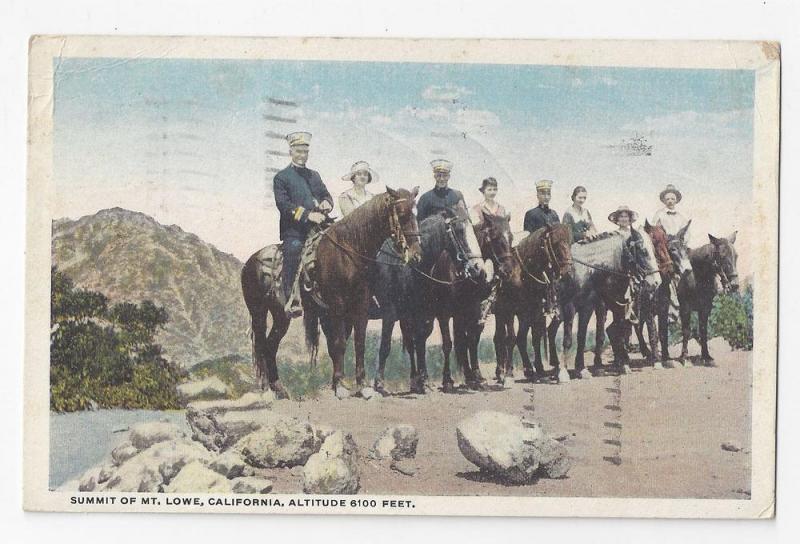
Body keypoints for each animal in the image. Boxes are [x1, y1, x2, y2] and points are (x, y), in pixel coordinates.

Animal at [241, 188, 422, 400]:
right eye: (401, 213)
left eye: (415, 213)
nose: (417, 254)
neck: (349, 252)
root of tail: (250, 261)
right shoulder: (338, 306)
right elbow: (339, 344)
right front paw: (341, 386)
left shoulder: (361, 306)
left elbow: (359, 344)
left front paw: (363, 386)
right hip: (258, 312)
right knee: (261, 345)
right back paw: (266, 389)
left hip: (280, 316)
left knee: (270, 346)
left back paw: (279, 388)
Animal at [494, 223, 576, 384]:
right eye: (555, 244)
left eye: (570, 243)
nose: (569, 272)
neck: (521, 275)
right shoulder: (509, 311)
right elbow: (511, 339)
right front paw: (508, 375)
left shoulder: (532, 311)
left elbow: (533, 337)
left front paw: (535, 368)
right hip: (500, 314)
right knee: (499, 338)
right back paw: (501, 372)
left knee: (522, 338)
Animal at [680, 231, 740, 366]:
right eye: (722, 256)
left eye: (736, 256)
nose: (734, 285)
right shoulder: (685, 308)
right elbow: (686, 331)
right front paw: (684, 357)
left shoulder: (705, 309)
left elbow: (704, 331)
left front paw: (706, 356)